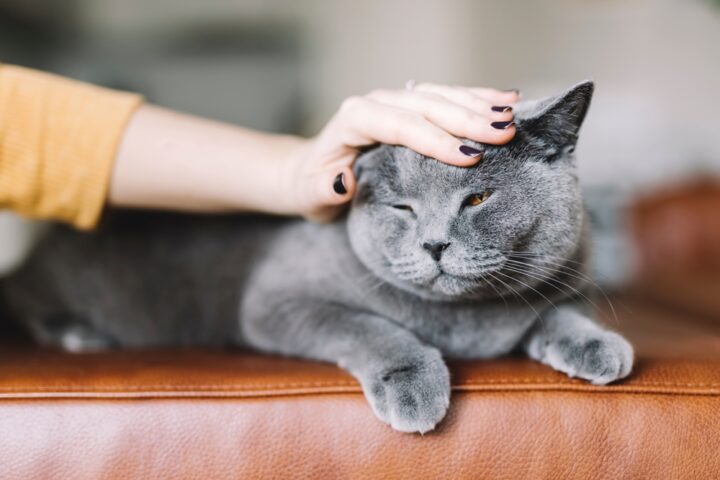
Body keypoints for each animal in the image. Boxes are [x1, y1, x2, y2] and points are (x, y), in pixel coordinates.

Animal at [0, 80, 632, 434]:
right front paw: (414, 384)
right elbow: (370, 327)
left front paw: (600, 347)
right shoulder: (278, 300)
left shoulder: (567, 280)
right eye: (403, 208)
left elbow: (558, 312)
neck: (461, 322)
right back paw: (78, 331)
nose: (434, 243)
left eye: (477, 199)